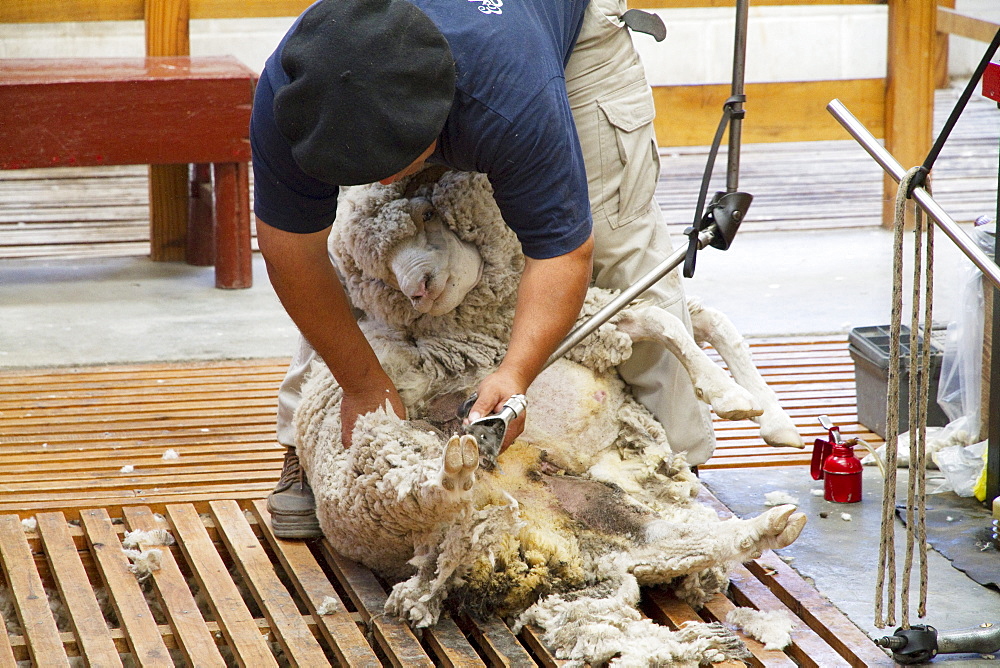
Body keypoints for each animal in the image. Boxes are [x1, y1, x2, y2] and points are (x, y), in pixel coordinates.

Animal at [292, 168, 808, 668]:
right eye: (374, 269)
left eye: (426, 214)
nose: (419, 291)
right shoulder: (583, 322)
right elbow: (676, 322)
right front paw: (739, 399)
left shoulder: (589, 320)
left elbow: (680, 322)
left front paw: (755, 408)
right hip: (380, 469)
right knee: (429, 489)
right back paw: (457, 465)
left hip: (602, 523)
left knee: (670, 546)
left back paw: (770, 526)